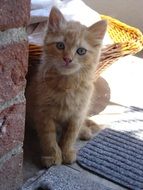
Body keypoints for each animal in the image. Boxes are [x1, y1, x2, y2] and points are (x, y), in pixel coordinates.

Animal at [26, 6, 106, 167]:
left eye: (81, 51)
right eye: (60, 45)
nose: (67, 59)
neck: (66, 85)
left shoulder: (77, 115)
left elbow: (70, 136)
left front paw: (67, 152)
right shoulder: (43, 113)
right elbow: (48, 137)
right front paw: (52, 156)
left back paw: (85, 131)